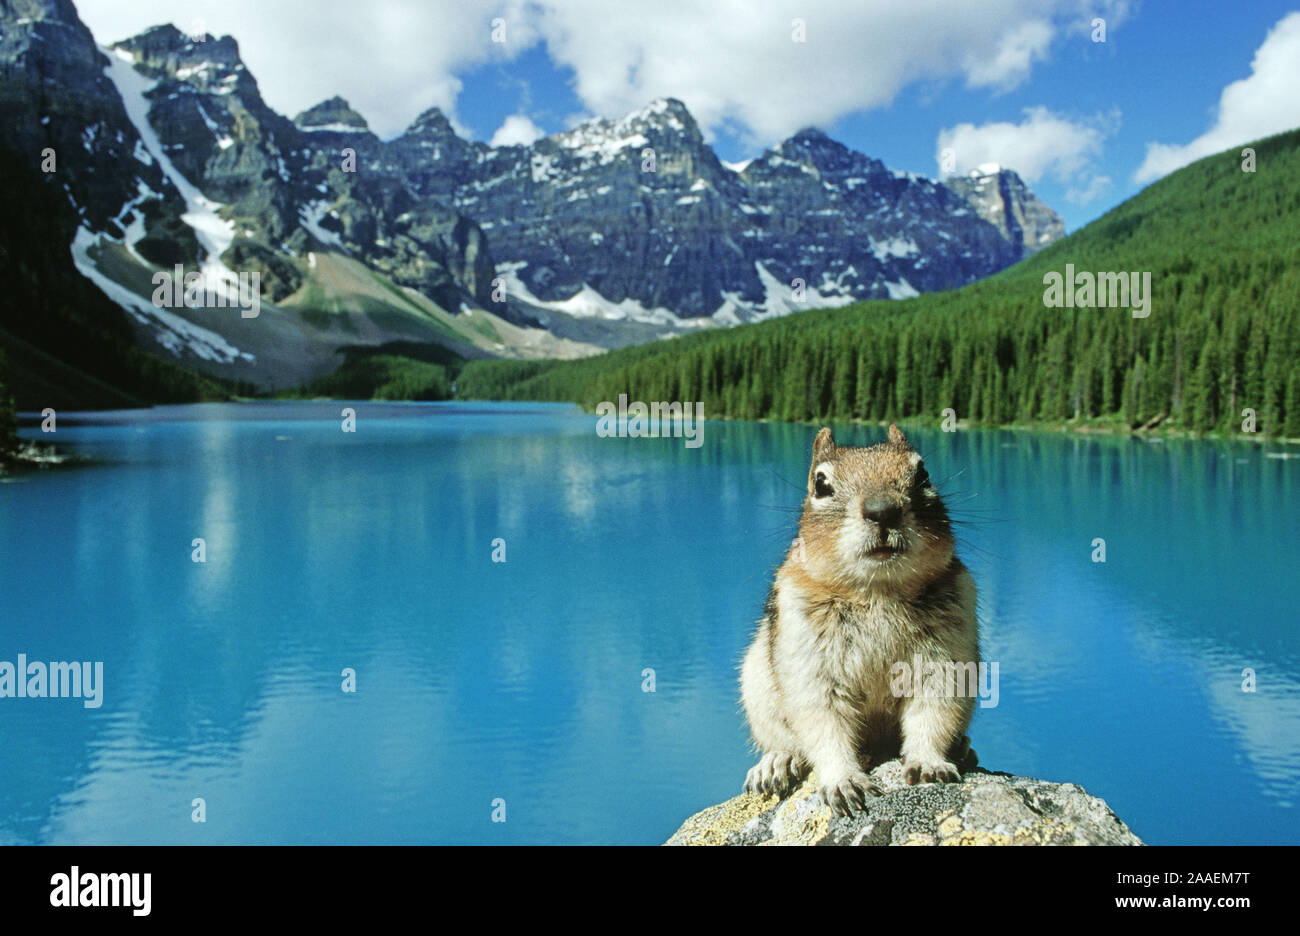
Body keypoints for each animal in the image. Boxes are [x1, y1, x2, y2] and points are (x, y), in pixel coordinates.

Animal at [743, 423, 977, 811]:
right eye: (821, 484)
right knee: (782, 740)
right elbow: (824, 721)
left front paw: (929, 763)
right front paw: (844, 781)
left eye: (922, 473)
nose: (883, 510)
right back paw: (776, 763)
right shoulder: (811, 661)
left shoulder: (944, 654)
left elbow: (934, 711)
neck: (877, 592)